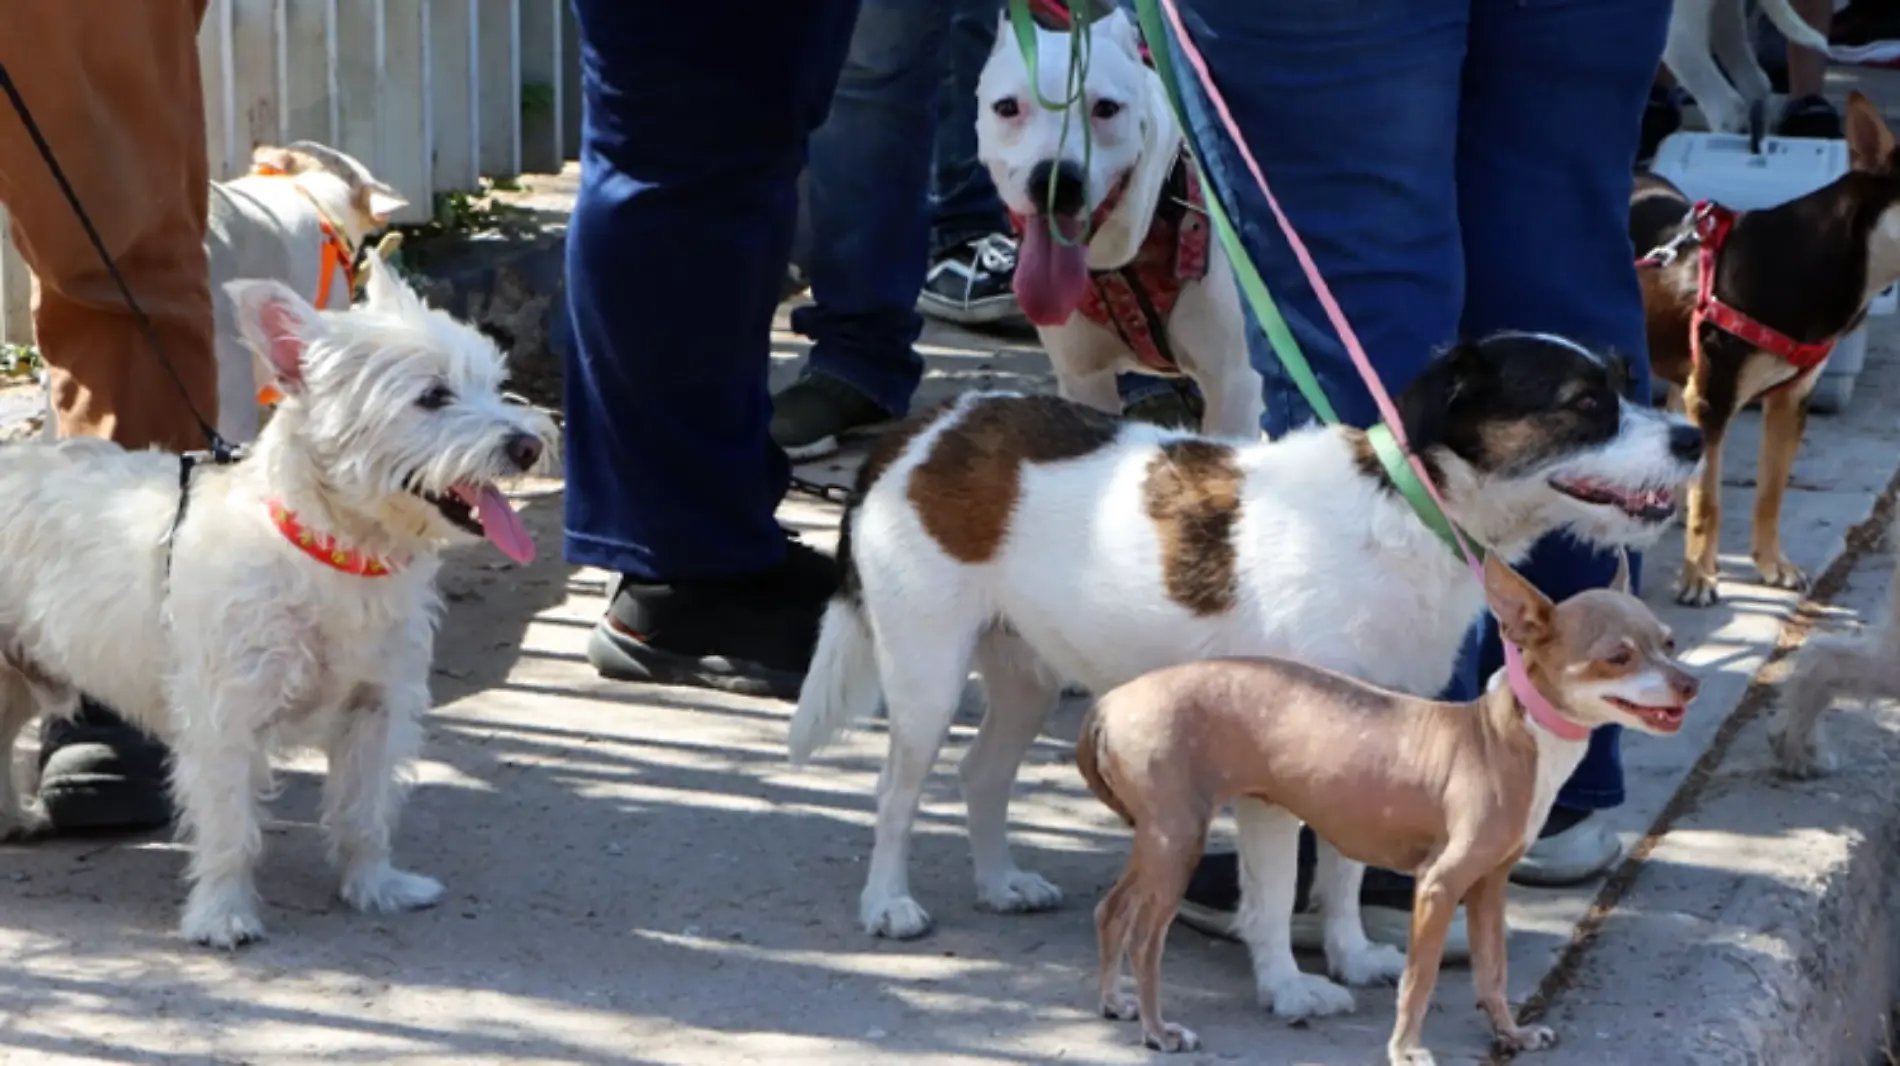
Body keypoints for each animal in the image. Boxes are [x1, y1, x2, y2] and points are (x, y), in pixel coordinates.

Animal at [0, 258, 558, 946]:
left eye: (493, 383)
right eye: (432, 396)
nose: (528, 445)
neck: (335, 555)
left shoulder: (376, 708)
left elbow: (365, 812)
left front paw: (376, 887)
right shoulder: (225, 720)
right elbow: (230, 828)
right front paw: (222, 914)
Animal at [1079, 551, 1702, 1056]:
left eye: (1669, 642)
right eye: (1618, 657)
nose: (1689, 684)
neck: (1505, 736)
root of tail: (1112, 702)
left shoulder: (1487, 885)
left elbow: (1493, 971)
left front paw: (1510, 1033)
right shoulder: (1438, 885)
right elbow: (1418, 982)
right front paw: (1406, 1049)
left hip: (1160, 840)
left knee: (1112, 910)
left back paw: (1115, 1003)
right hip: (1178, 841)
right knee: (1146, 940)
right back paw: (1159, 1031)